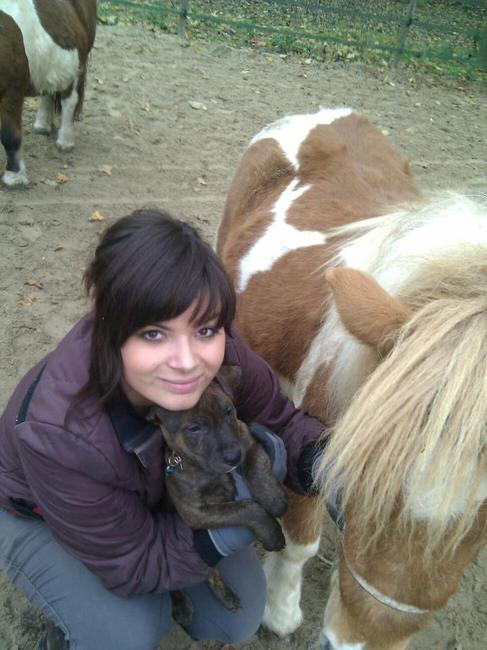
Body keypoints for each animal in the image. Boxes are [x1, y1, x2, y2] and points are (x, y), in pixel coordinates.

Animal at [0, 0, 97, 187]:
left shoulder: (11, 91)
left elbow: (9, 135)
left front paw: (14, 177)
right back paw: (42, 126)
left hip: (77, 63)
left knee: (69, 101)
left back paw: (65, 141)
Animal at [147, 366, 288, 621]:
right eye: (194, 428)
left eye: (228, 411)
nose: (233, 457)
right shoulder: (196, 512)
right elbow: (244, 508)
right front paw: (272, 532)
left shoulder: (247, 439)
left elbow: (257, 464)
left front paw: (274, 498)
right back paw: (181, 604)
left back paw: (226, 596)